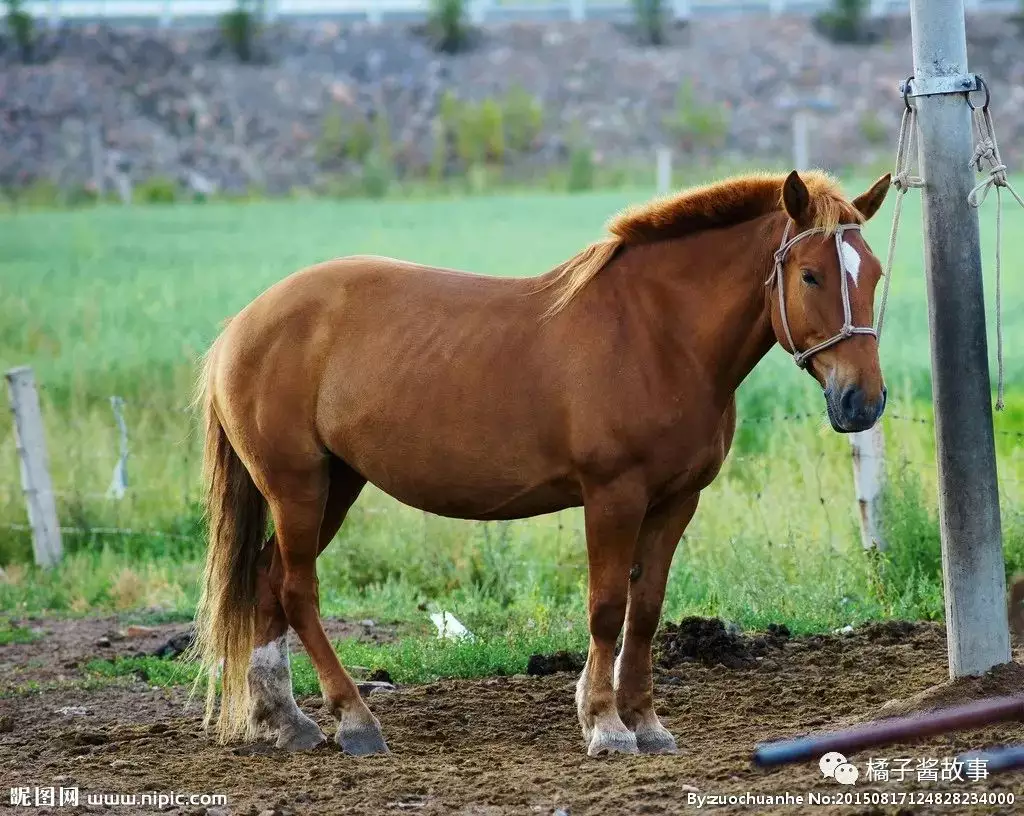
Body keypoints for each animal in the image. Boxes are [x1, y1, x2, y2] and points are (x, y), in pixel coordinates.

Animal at [190, 169, 888, 757]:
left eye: (875, 273)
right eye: (810, 275)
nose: (863, 401)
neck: (657, 335)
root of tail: (242, 324)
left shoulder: (674, 501)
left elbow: (647, 608)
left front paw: (646, 723)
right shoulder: (613, 496)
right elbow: (606, 606)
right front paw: (605, 725)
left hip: (336, 484)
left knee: (266, 582)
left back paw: (285, 721)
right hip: (297, 486)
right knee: (296, 589)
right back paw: (355, 720)